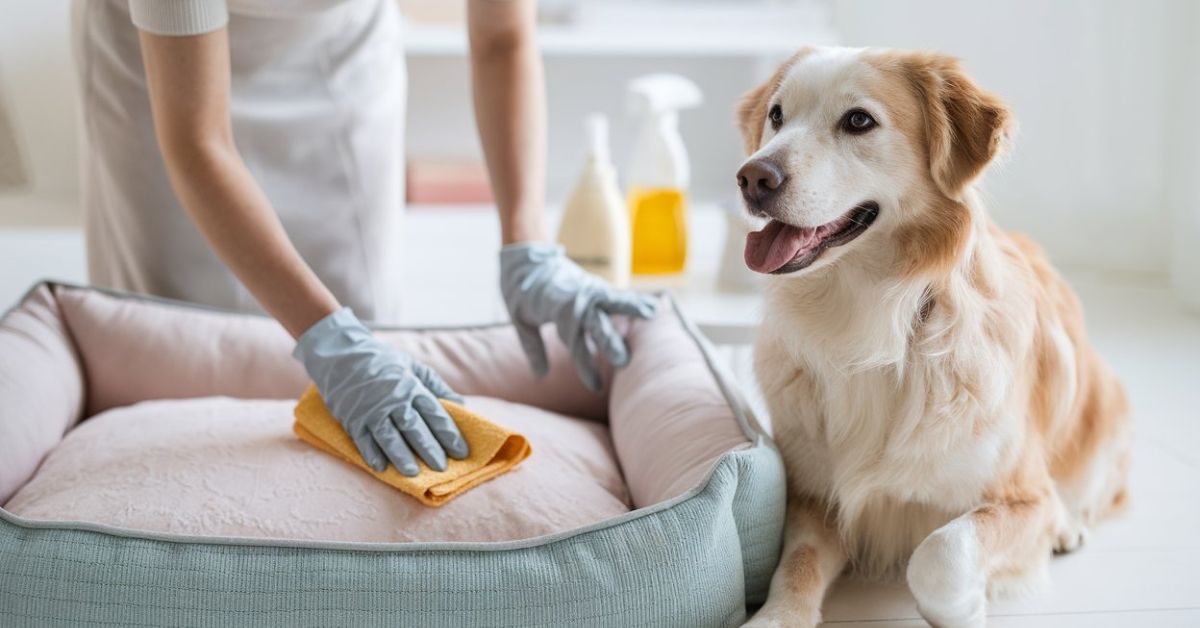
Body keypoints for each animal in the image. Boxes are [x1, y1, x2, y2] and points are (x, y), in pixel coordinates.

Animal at [734, 45, 1128, 628]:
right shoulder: (814, 493)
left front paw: (965, 607)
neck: (874, 323)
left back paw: (1070, 527)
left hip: (1102, 412)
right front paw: (775, 618)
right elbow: (795, 567)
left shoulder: (1025, 497)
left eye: (858, 121)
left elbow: (940, 552)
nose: (752, 178)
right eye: (777, 115)